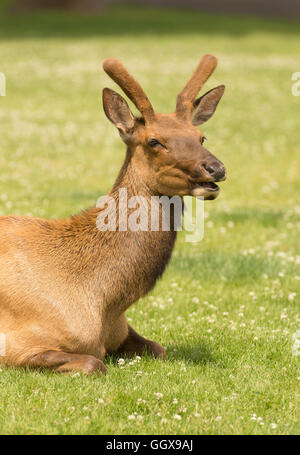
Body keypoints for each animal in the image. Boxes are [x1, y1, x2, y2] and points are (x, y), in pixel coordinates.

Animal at [0, 54, 225, 374]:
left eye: (201, 137)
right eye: (154, 141)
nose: (215, 168)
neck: (105, 302)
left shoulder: (122, 330)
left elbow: (159, 348)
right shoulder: (16, 345)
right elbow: (95, 363)